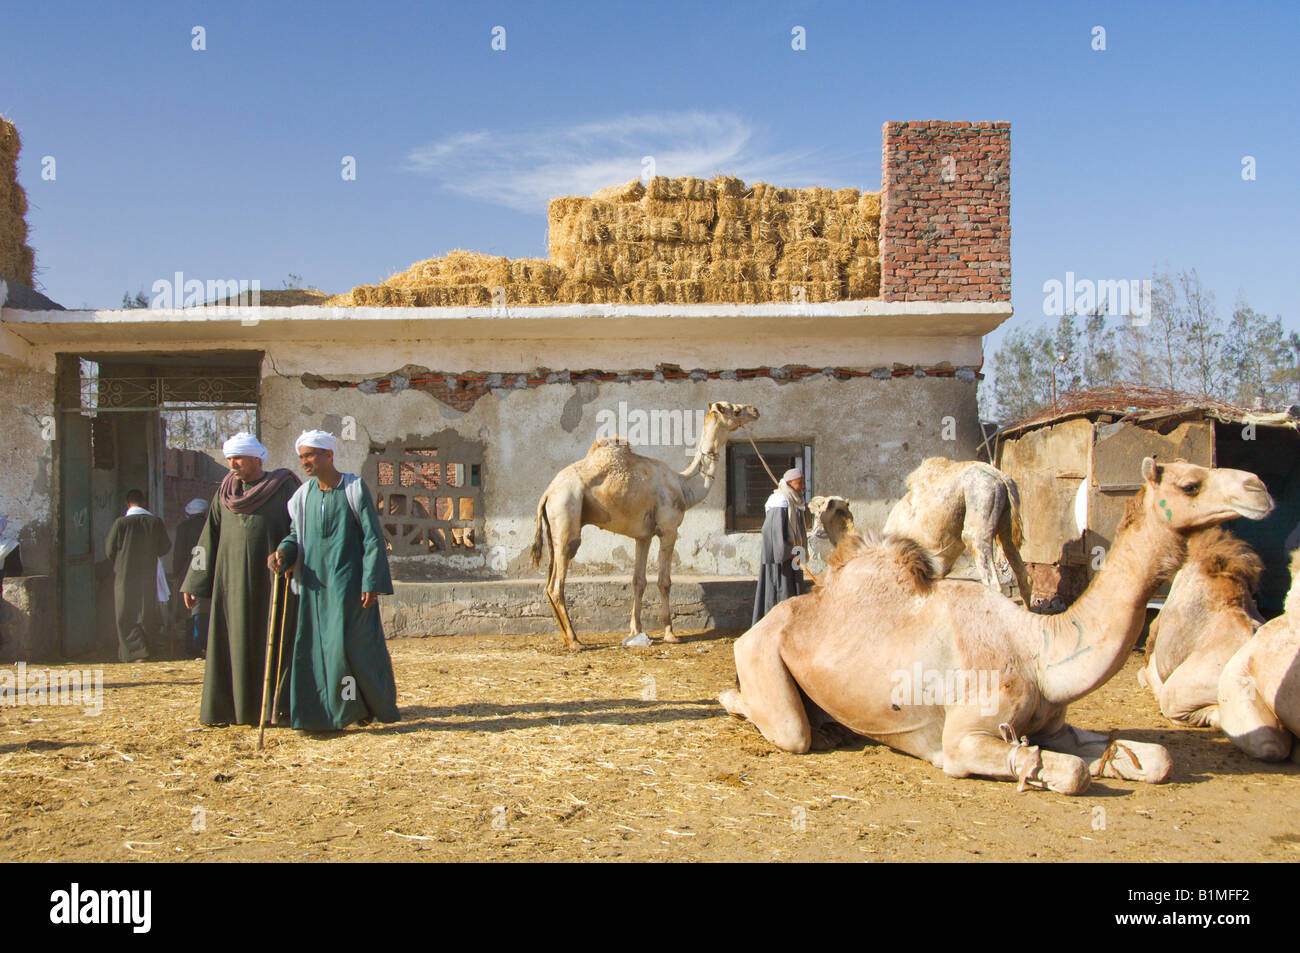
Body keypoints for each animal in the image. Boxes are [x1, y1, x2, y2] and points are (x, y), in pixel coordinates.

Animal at [530, 397, 759, 650]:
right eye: (735, 410)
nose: (755, 410)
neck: (683, 486)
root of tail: (547, 493)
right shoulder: (669, 530)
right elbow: (664, 581)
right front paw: (670, 633)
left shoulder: (644, 535)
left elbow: (638, 581)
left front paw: (636, 630)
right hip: (567, 512)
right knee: (556, 584)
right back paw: (575, 641)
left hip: (554, 527)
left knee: (549, 582)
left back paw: (566, 636)